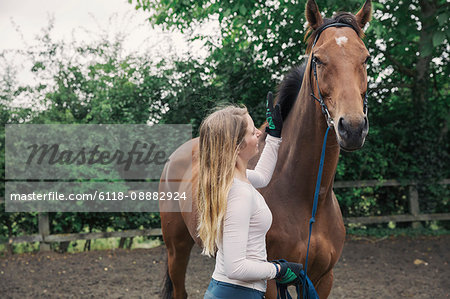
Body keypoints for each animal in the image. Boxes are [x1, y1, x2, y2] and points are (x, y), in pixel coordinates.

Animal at [159, 0, 372, 298]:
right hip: (176, 248)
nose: (352, 128)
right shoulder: (270, 278)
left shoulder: (322, 279)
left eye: (365, 58)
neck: (308, 199)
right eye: (318, 59)